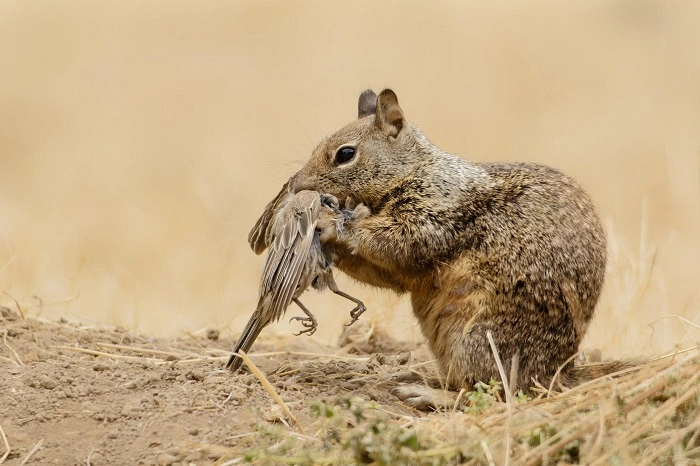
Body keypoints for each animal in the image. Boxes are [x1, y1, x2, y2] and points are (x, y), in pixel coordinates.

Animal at [255, 89, 619, 409]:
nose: (297, 185)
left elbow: (397, 242)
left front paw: (329, 223)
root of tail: (558, 373)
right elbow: (385, 272)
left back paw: (425, 393)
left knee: (493, 393)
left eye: (345, 154)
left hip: (481, 340)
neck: (415, 171)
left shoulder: (433, 217)